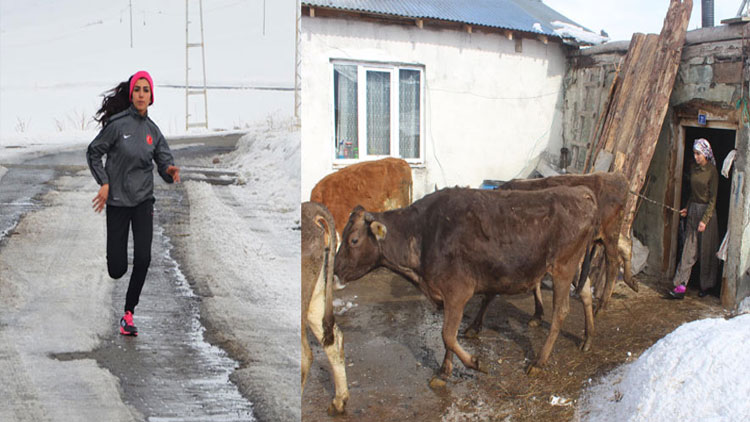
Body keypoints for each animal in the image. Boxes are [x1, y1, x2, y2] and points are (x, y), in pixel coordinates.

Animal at [334, 186, 600, 378]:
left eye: (354, 240)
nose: (335, 270)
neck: (422, 234)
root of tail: (578, 192)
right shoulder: (448, 296)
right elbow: (448, 336)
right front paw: (444, 371)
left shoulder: (457, 292)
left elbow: (448, 336)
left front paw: (474, 363)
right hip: (576, 265)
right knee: (586, 292)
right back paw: (588, 338)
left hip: (563, 267)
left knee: (561, 311)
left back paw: (539, 361)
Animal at [470, 171, 640, 336]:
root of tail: (616, 176)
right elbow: (535, 285)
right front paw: (537, 315)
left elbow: (490, 294)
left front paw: (474, 326)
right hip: (603, 236)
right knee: (626, 244)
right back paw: (631, 282)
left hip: (609, 235)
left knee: (613, 265)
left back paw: (602, 306)